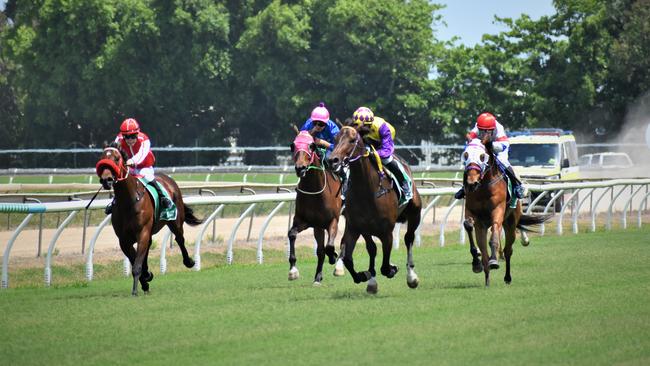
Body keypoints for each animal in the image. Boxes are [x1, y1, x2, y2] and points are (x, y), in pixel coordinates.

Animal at [95, 144, 201, 296]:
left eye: (116, 158)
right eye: (102, 157)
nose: (106, 180)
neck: (128, 202)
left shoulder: (142, 232)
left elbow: (136, 264)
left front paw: (136, 290)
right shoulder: (124, 240)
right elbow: (135, 260)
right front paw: (145, 280)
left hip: (175, 221)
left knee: (179, 239)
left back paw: (189, 262)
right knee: (149, 247)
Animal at [286, 130, 342, 284]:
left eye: (311, 146)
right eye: (293, 146)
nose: (300, 168)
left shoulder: (333, 220)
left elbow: (329, 246)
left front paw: (333, 257)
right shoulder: (306, 221)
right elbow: (292, 234)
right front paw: (293, 271)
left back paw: (338, 266)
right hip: (318, 226)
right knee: (321, 251)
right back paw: (318, 276)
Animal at [326, 124, 422, 294]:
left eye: (352, 140)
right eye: (335, 139)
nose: (333, 160)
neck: (367, 190)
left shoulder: (386, 231)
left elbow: (385, 266)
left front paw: (392, 269)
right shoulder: (357, 227)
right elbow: (354, 256)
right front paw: (366, 276)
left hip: (415, 214)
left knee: (409, 239)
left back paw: (411, 277)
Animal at [458, 137, 548, 286]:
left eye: (482, 156)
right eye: (465, 155)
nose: (471, 183)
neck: (483, 188)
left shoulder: (497, 211)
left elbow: (495, 235)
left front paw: (494, 260)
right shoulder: (472, 212)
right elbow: (468, 226)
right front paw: (476, 263)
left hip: (510, 223)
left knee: (508, 250)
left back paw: (507, 277)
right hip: (482, 226)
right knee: (484, 250)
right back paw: (486, 278)